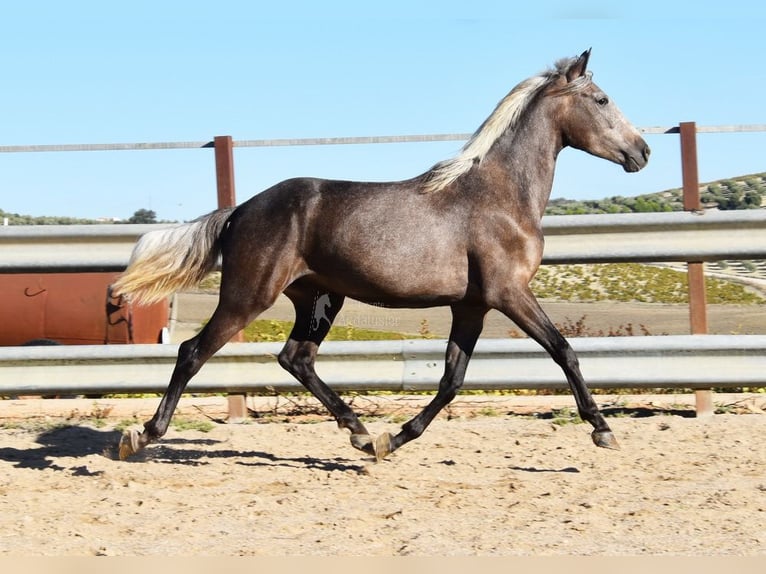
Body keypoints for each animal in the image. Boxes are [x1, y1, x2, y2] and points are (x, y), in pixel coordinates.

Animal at [114, 49, 652, 464]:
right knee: (193, 351)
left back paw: (360, 433)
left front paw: (392, 440)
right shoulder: (509, 293)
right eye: (602, 99)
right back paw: (140, 436)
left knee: (296, 358)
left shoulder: (471, 305)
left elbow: (452, 379)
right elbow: (564, 350)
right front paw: (603, 430)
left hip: (319, 298)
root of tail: (241, 209)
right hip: (248, 296)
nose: (642, 152)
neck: (500, 195)